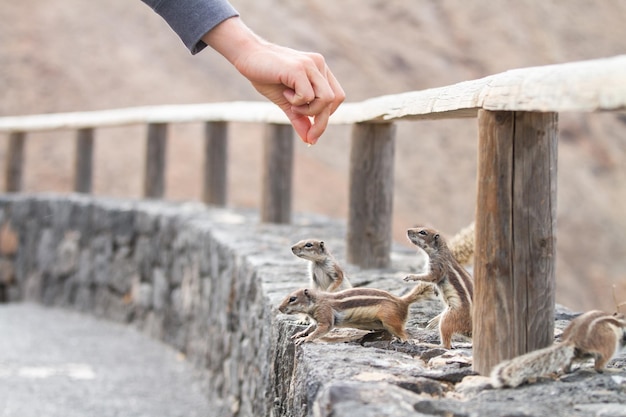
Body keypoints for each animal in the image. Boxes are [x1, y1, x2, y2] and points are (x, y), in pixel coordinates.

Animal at [276, 282, 434, 344]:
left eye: (292, 298)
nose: (279, 308)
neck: (317, 301)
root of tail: (402, 301)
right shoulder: (316, 319)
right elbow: (311, 327)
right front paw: (300, 334)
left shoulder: (325, 314)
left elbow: (321, 329)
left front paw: (306, 339)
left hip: (390, 319)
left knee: (401, 331)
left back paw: (405, 339)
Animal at [490, 308, 624, 386]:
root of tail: (572, 339)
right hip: (609, 343)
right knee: (599, 365)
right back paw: (610, 370)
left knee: (568, 364)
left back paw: (569, 370)